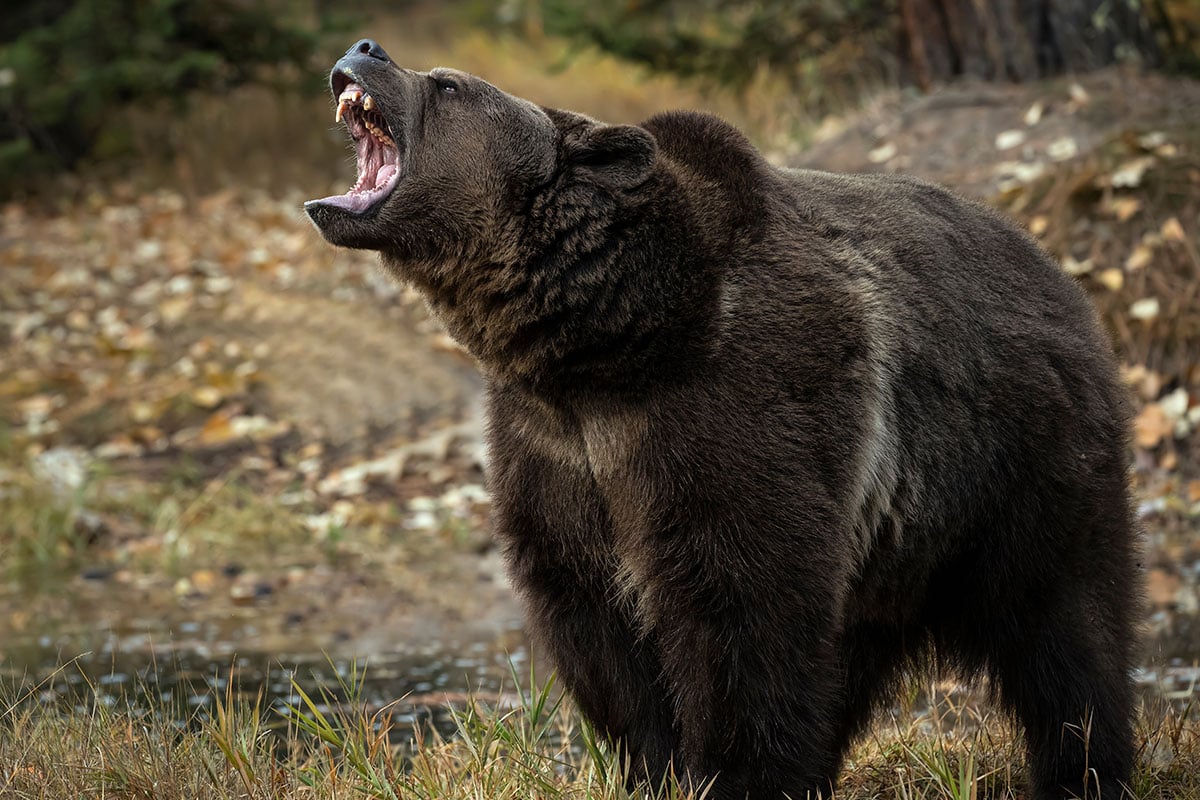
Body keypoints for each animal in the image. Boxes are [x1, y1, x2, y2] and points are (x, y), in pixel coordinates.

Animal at [304, 40, 1137, 800]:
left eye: (448, 84)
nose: (365, 47)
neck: (605, 344)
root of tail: (1058, 272)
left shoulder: (733, 408)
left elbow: (742, 607)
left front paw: (738, 775)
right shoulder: (554, 449)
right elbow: (592, 617)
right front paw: (655, 764)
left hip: (1019, 464)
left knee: (1066, 631)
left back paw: (1086, 769)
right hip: (895, 538)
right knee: (861, 649)